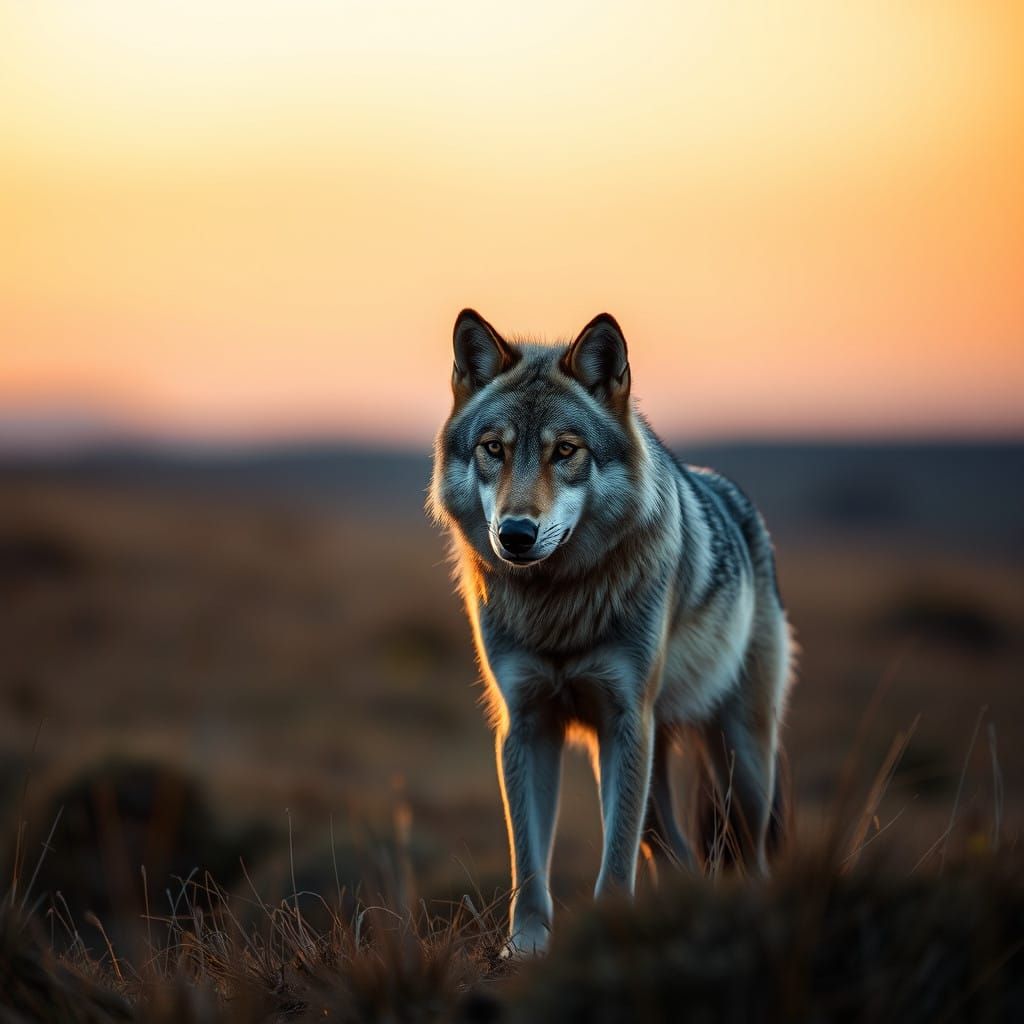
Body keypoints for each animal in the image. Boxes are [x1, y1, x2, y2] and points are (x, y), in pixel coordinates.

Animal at [428, 309, 795, 954]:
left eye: (566, 451)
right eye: (494, 449)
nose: (515, 534)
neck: (557, 610)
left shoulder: (626, 718)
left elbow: (616, 860)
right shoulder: (527, 723)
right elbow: (529, 861)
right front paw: (525, 944)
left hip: (737, 757)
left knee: (748, 858)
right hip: (649, 755)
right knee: (674, 851)